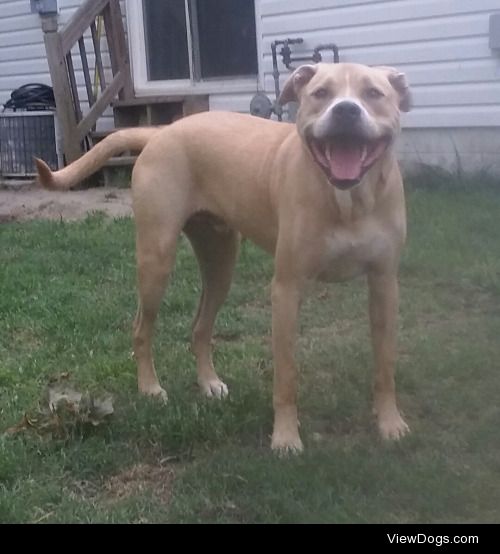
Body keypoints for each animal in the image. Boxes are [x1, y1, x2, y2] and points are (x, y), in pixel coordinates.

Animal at [36, 62, 410, 450]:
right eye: (321, 93)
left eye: (373, 94)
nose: (346, 110)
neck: (348, 200)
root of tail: (162, 131)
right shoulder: (286, 289)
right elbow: (286, 376)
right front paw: (285, 438)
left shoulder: (384, 284)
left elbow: (385, 365)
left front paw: (390, 424)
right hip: (157, 259)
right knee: (141, 328)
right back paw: (151, 388)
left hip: (221, 263)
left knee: (200, 327)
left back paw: (209, 384)